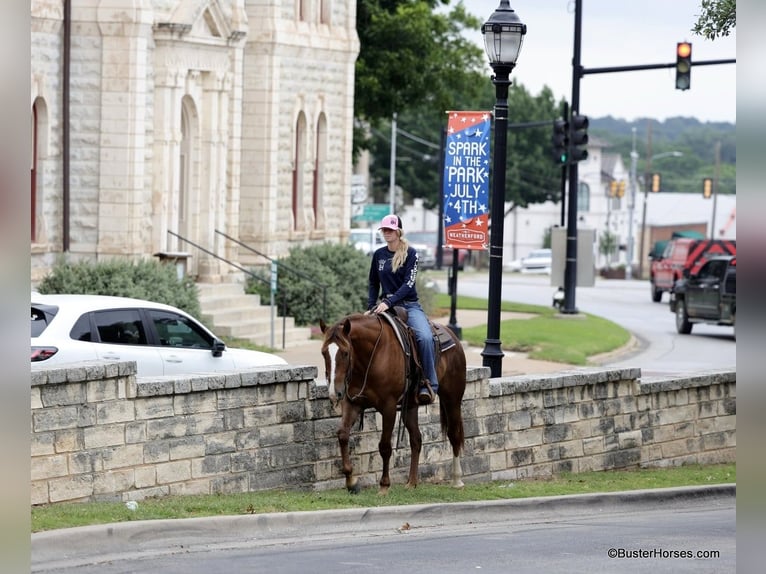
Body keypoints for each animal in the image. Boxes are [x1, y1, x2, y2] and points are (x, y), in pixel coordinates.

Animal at [320, 312, 468, 498]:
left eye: (346, 353)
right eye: (323, 352)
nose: (335, 392)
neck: (371, 357)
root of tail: (454, 337)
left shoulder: (388, 407)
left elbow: (384, 446)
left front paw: (384, 485)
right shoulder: (353, 403)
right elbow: (342, 435)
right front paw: (351, 481)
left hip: (452, 398)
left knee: (454, 434)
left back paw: (457, 480)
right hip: (410, 407)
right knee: (416, 439)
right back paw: (412, 482)